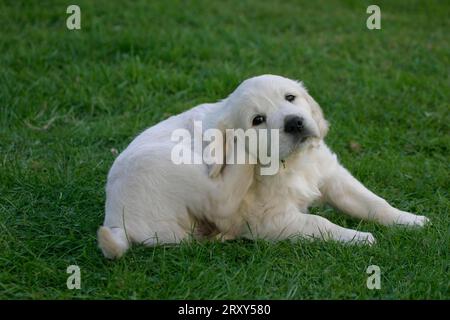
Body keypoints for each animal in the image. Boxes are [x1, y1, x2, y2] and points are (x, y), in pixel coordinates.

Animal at [98, 74, 428, 258]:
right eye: (258, 120)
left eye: (290, 97)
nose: (295, 122)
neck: (291, 163)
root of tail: (116, 218)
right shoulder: (269, 219)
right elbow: (319, 223)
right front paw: (359, 238)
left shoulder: (331, 174)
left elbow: (373, 202)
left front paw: (411, 220)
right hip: (172, 162)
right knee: (221, 199)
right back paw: (233, 145)